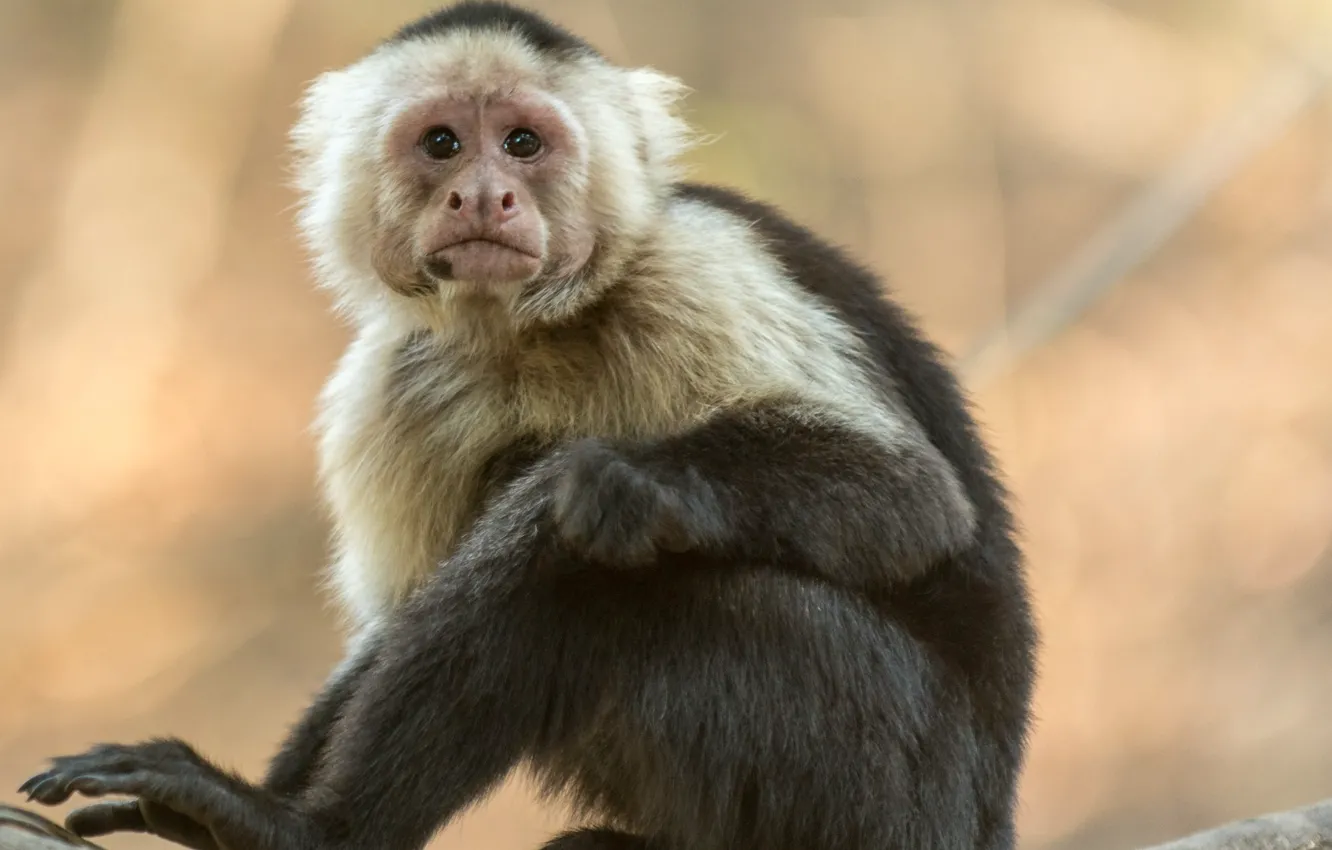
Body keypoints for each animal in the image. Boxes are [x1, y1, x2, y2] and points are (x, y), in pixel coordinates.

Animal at [18, 3, 1038, 850]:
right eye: (441, 143)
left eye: (522, 142)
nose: (482, 195)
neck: (530, 329)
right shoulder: (394, 382)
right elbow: (393, 623)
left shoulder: (695, 269)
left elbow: (912, 499)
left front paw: (635, 482)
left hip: (899, 791)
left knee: (609, 563)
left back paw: (311, 831)